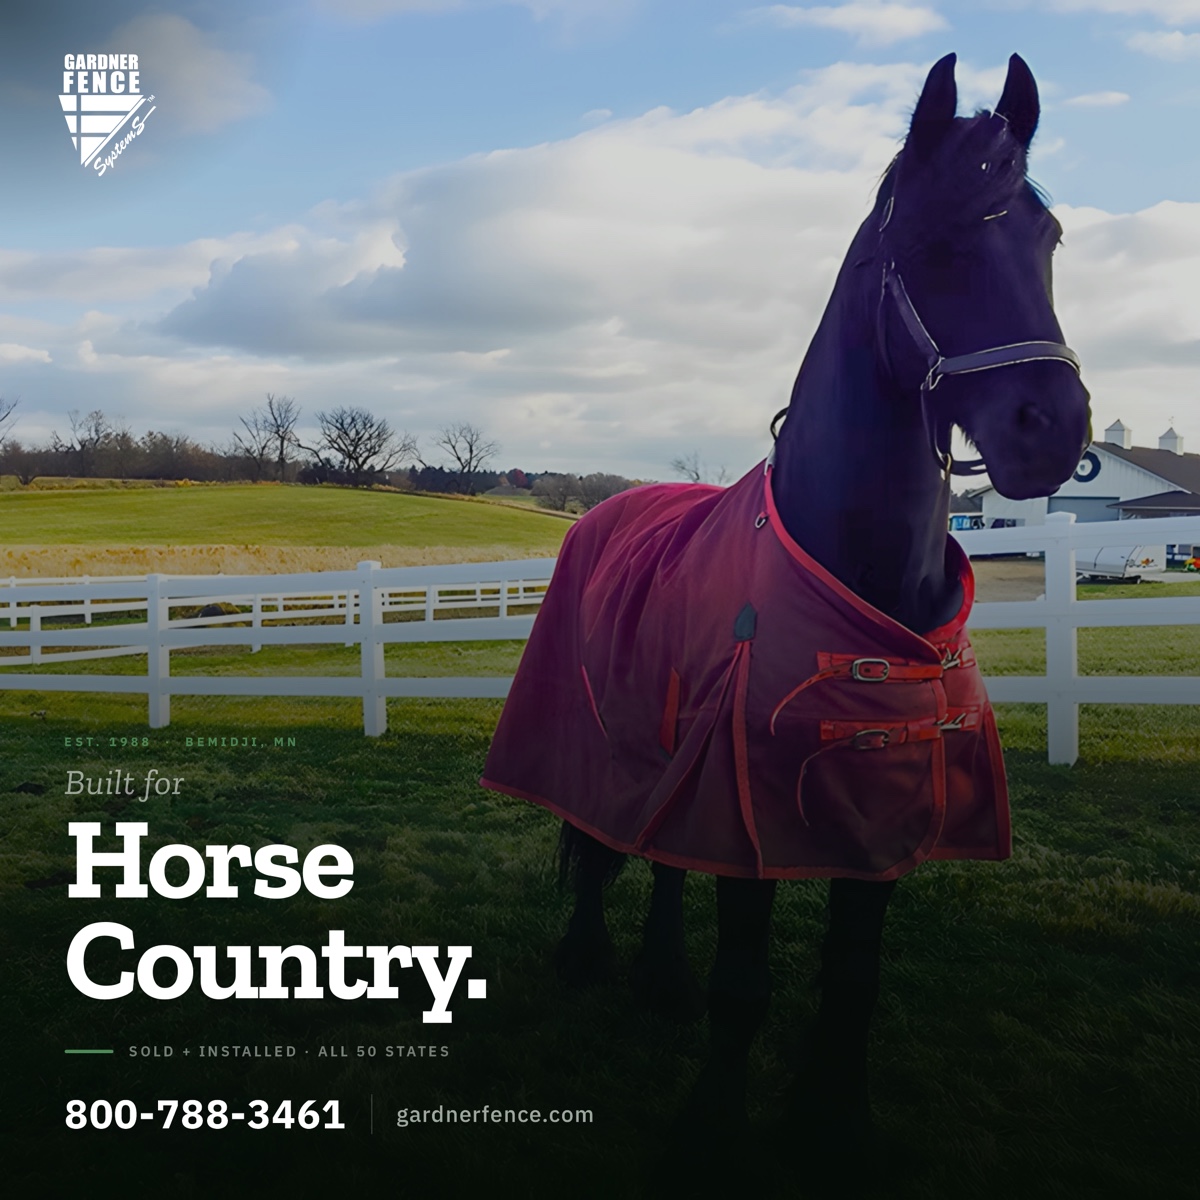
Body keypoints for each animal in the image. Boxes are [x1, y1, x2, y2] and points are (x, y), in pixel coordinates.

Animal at [482, 52, 1092, 1160]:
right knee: (601, 845)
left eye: (1048, 236)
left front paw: (834, 1115)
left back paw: (659, 978)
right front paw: (714, 1120)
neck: (862, 585)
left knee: (662, 856)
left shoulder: (884, 811)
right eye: (933, 238)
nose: (1051, 431)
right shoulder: (749, 802)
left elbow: (851, 978)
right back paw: (589, 958)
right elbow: (745, 981)